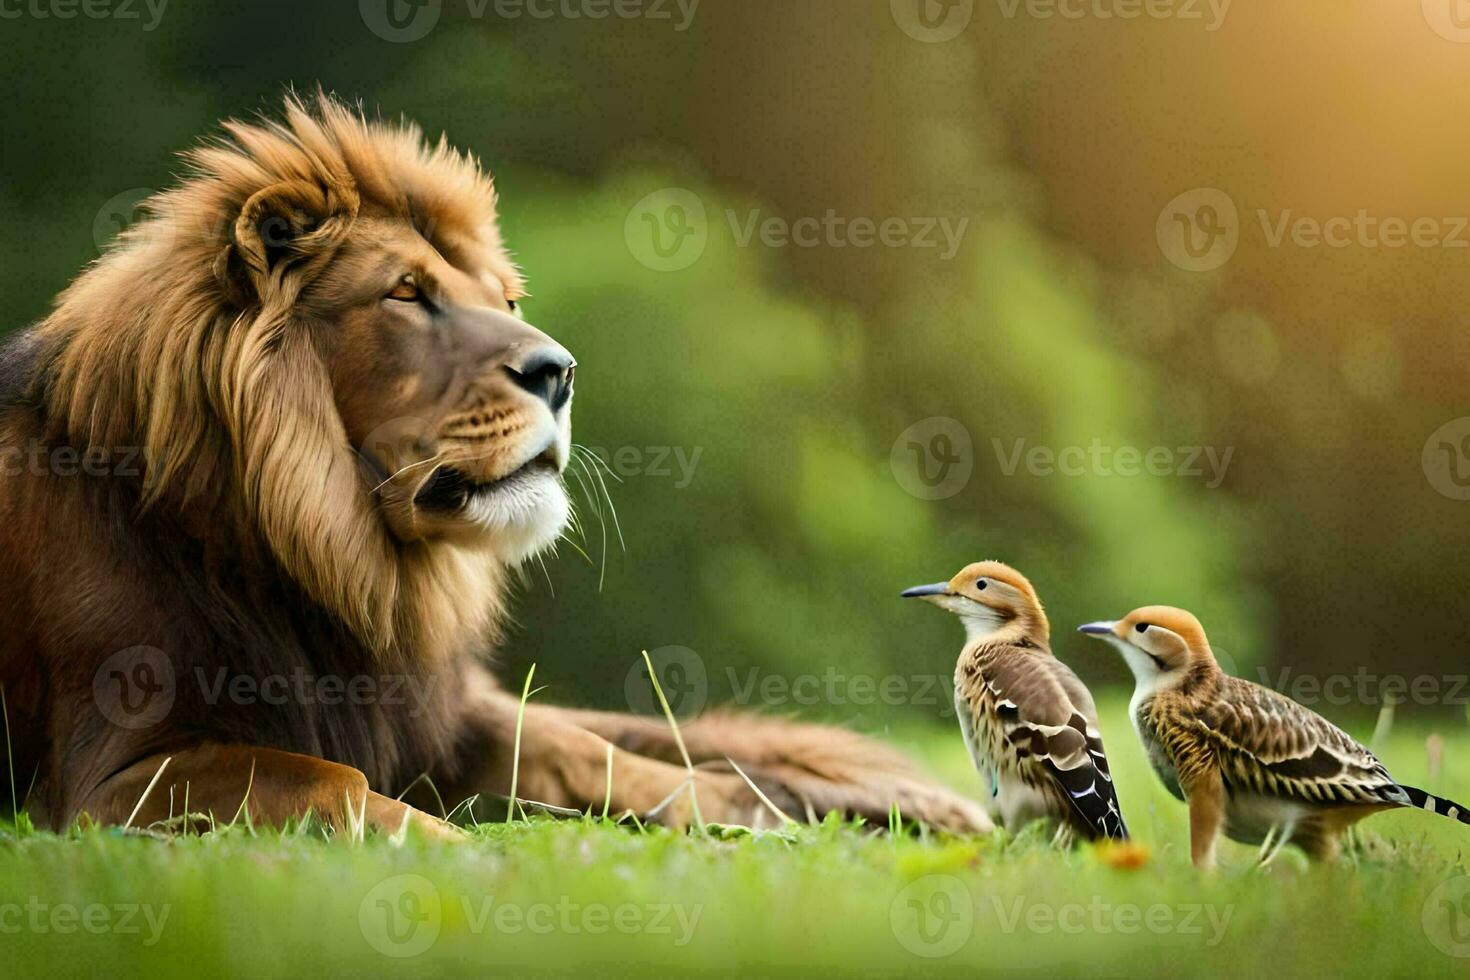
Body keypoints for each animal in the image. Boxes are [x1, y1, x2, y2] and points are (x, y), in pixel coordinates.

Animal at [0, 95, 993, 840]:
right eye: (406, 292)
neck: (330, 552)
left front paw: (819, 807)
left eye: (506, 300)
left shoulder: (434, 709)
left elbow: (594, 745)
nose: (561, 371)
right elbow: (336, 784)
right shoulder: (114, 779)